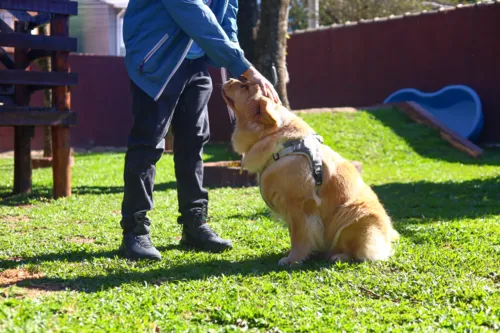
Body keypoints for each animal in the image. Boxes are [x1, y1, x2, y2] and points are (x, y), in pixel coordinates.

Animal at [222, 78, 398, 264]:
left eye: (244, 86)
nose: (229, 79)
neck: (278, 141)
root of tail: (387, 237)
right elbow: (296, 233)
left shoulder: (301, 205)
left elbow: (299, 235)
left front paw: (293, 259)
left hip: (354, 212)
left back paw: (338, 255)